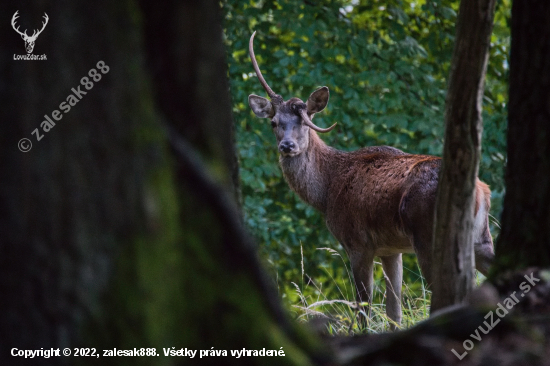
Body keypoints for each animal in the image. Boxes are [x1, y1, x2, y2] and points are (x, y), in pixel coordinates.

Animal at [248, 31, 498, 328]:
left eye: (305, 122)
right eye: (274, 122)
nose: (287, 145)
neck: (326, 192)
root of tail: (481, 190)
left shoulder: (357, 242)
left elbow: (363, 309)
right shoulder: (391, 248)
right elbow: (394, 312)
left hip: (430, 236)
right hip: (481, 237)